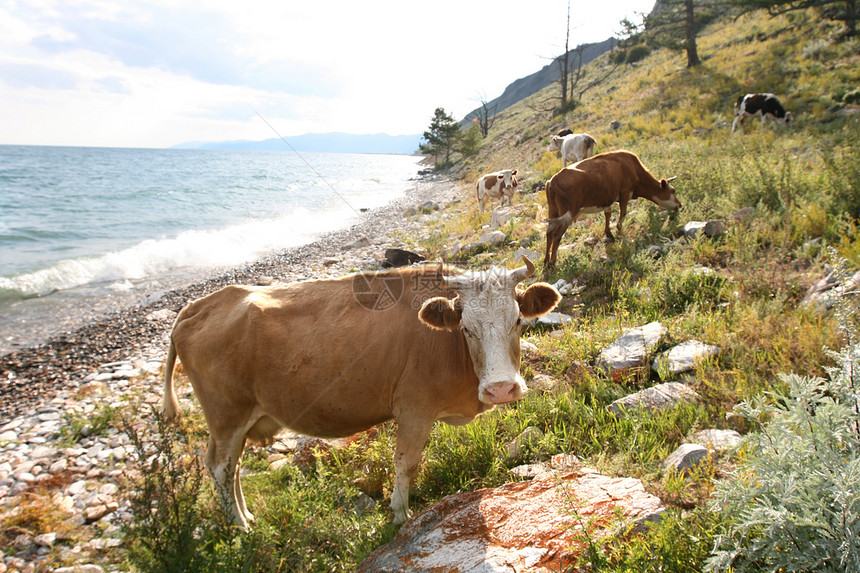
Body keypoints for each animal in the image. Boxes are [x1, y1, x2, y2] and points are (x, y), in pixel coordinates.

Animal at [544, 151, 680, 270]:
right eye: (673, 190)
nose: (680, 205)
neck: (634, 169)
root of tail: (553, 180)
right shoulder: (625, 194)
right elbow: (622, 215)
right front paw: (621, 234)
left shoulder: (608, 200)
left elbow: (608, 214)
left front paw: (609, 234)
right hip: (568, 213)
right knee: (557, 236)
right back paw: (552, 263)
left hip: (553, 211)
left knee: (549, 233)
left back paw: (546, 261)